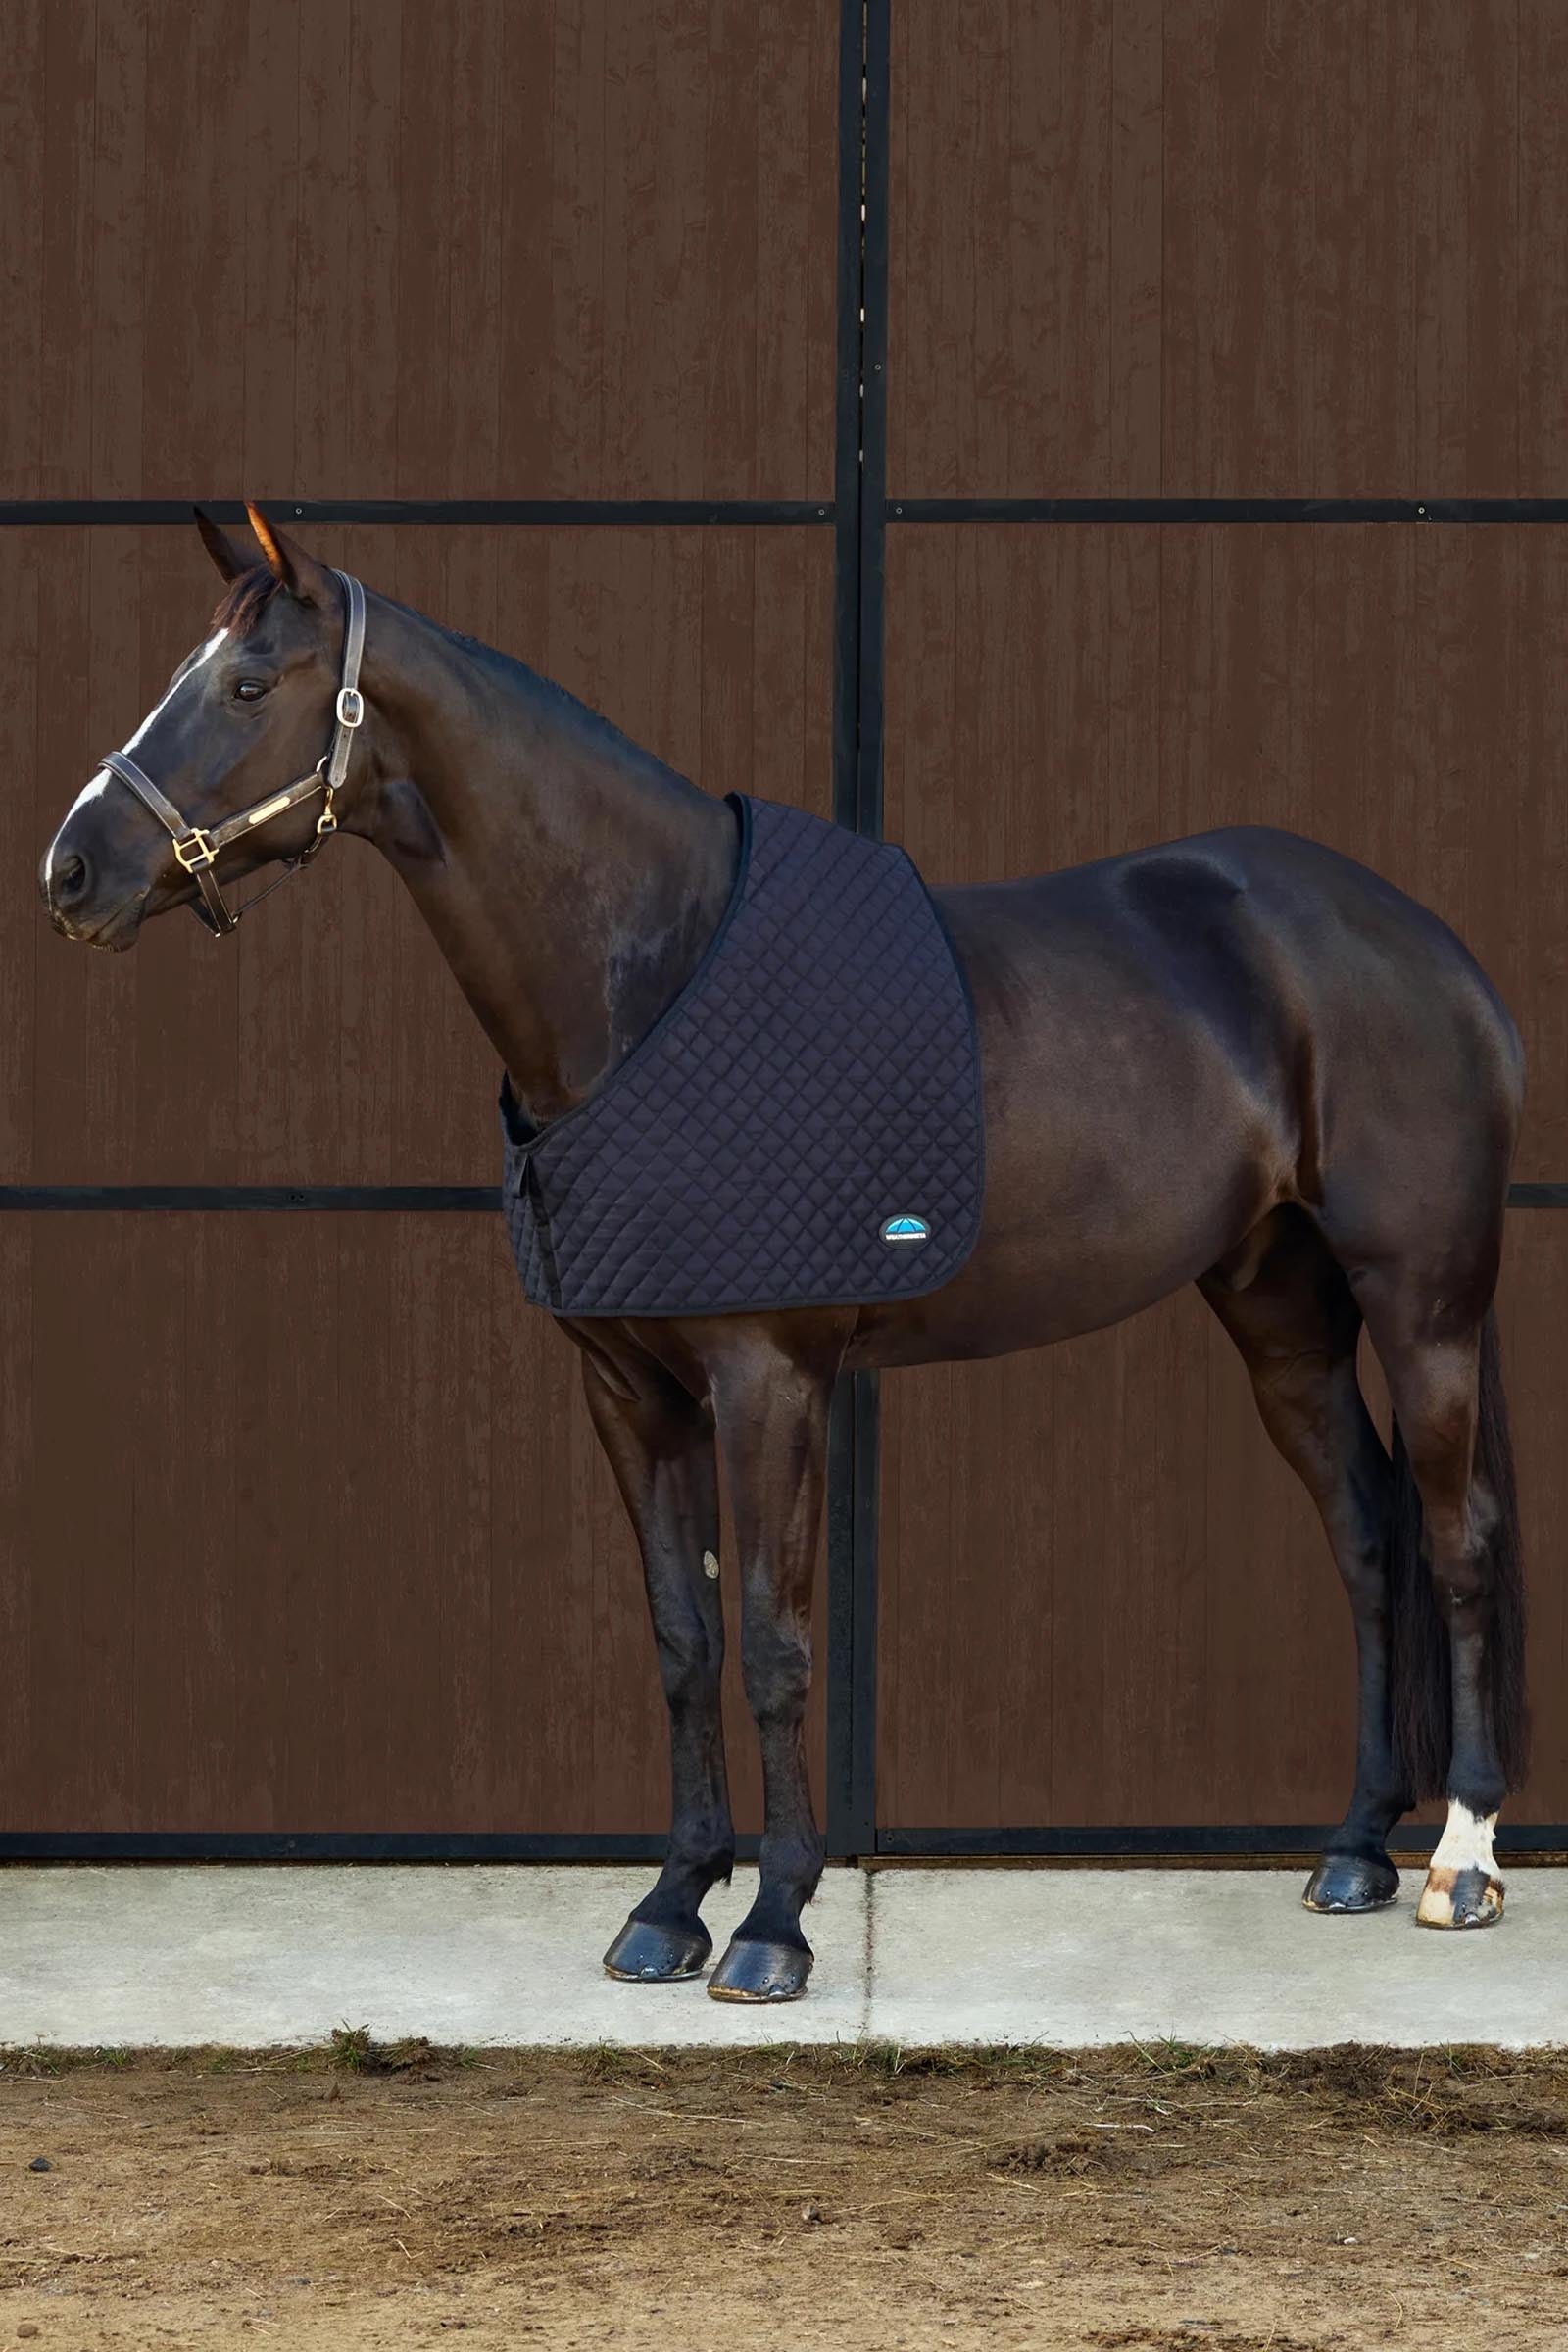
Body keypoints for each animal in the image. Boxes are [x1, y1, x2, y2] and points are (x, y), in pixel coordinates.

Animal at [38, 503, 1528, 2002]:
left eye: (246, 685)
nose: (71, 870)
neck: (650, 972)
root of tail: (1430, 947)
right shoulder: (628, 1389)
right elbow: (682, 1640)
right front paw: (668, 1905)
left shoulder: (772, 1381)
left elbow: (772, 1643)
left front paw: (771, 1926)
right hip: (1281, 1306)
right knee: (1364, 1534)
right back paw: (1352, 1850)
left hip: (1421, 1303)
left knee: (1455, 1535)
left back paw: (1460, 1863)